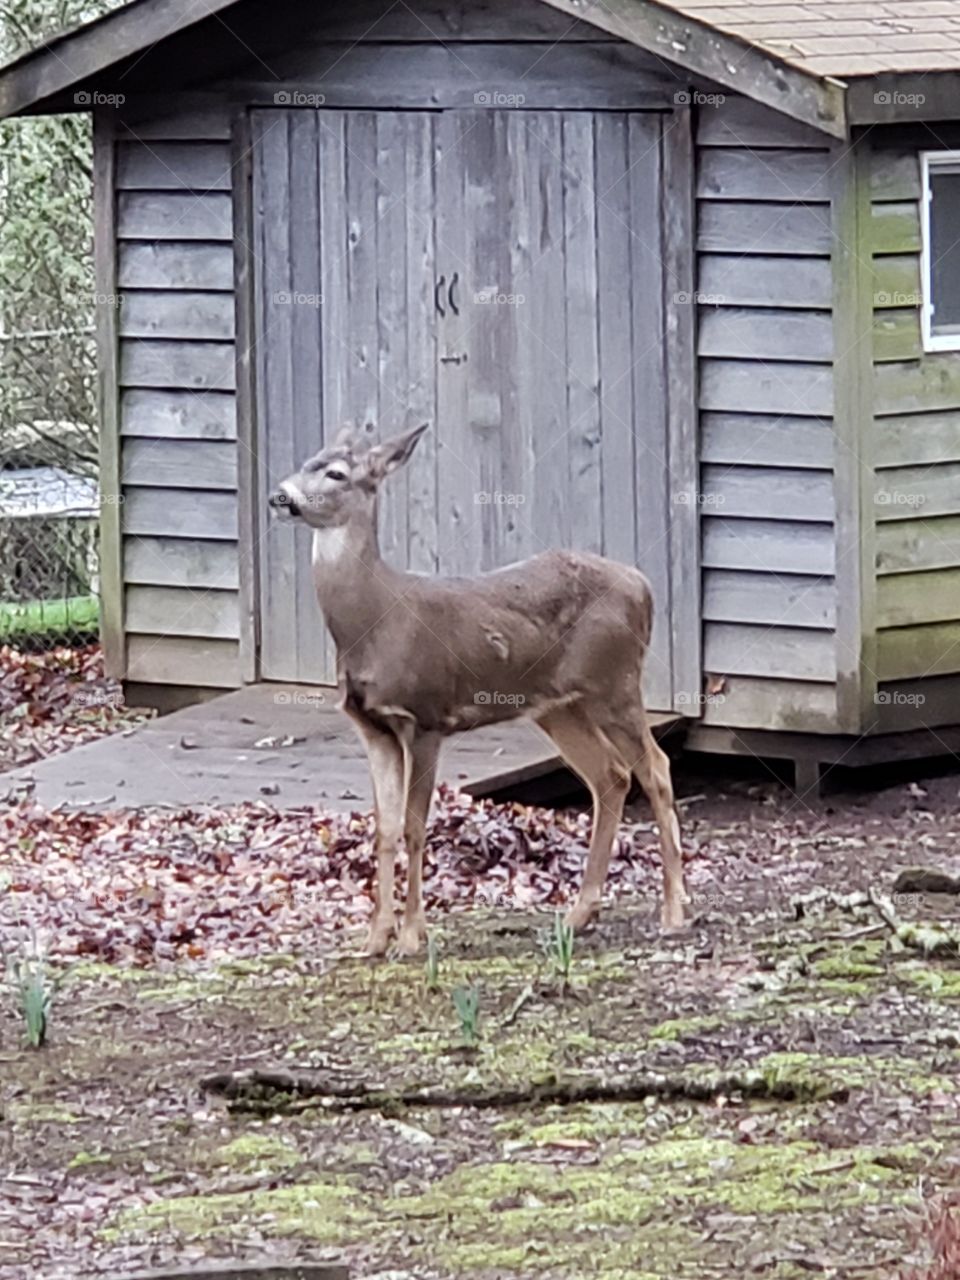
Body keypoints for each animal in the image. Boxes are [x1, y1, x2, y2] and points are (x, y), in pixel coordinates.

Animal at [268, 423, 688, 957]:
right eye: (307, 461)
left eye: (337, 473)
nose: (280, 496)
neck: (375, 622)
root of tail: (645, 587)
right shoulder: (372, 726)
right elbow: (383, 828)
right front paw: (375, 939)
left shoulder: (424, 716)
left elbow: (414, 825)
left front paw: (411, 937)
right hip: (559, 705)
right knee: (610, 775)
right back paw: (579, 914)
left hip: (615, 683)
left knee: (656, 768)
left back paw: (674, 913)